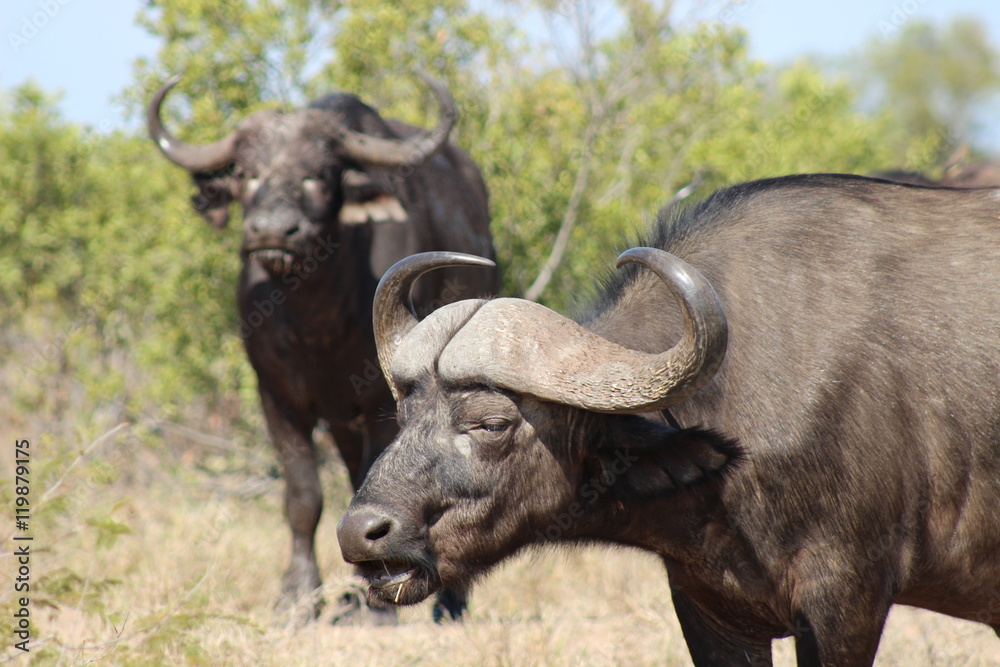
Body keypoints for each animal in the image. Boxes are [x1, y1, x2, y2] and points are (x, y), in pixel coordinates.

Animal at [146, 74, 498, 628]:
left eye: (318, 175)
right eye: (246, 174)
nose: (272, 229)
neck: (319, 322)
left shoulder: (382, 403)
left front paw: (378, 609)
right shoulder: (277, 399)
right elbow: (303, 497)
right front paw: (296, 596)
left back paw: (447, 602)